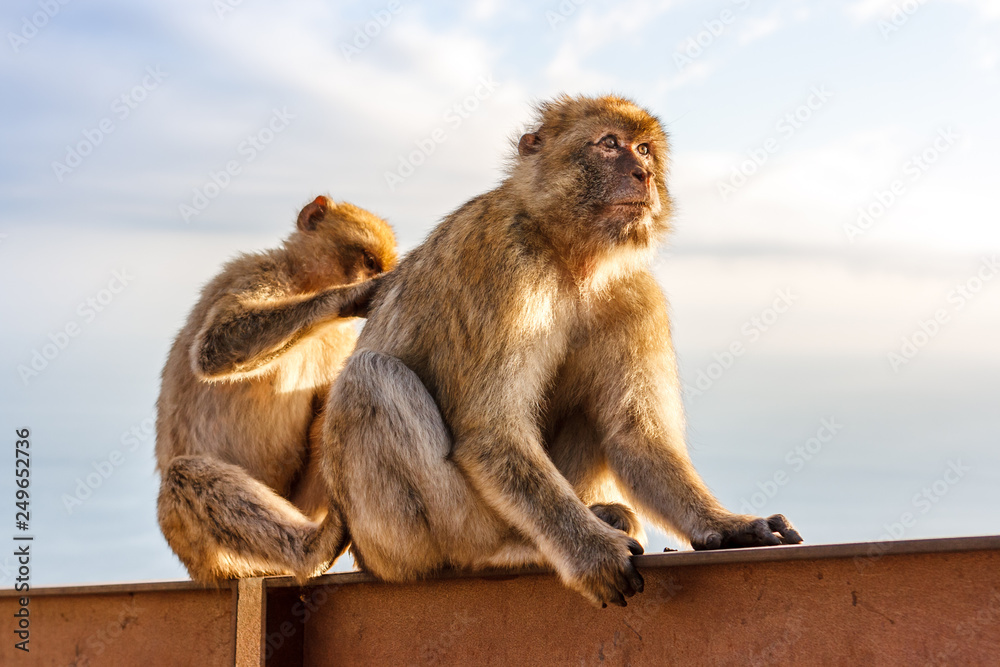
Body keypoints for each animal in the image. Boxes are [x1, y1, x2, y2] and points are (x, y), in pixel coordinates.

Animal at [155, 195, 397, 582]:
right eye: (368, 261)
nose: (370, 276)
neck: (301, 282)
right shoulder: (257, 272)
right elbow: (216, 345)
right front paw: (352, 295)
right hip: (204, 551)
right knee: (182, 476)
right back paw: (310, 550)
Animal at [321, 95, 802, 608]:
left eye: (644, 149)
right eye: (609, 144)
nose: (644, 174)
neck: (571, 257)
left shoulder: (636, 294)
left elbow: (635, 436)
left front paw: (728, 526)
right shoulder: (504, 261)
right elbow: (492, 431)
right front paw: (592, 553)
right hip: (397, 542)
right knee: (372, 376)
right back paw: (500, 550)